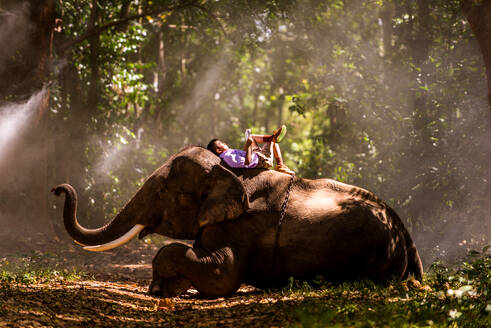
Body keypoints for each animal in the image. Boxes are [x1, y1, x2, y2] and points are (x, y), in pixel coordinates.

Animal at [52, 145, 422, 298]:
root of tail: (406, 234)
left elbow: (224, 276)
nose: (57, 189)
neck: (229, 172)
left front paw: (162, 289)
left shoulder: (246, 224)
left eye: (162, 192)